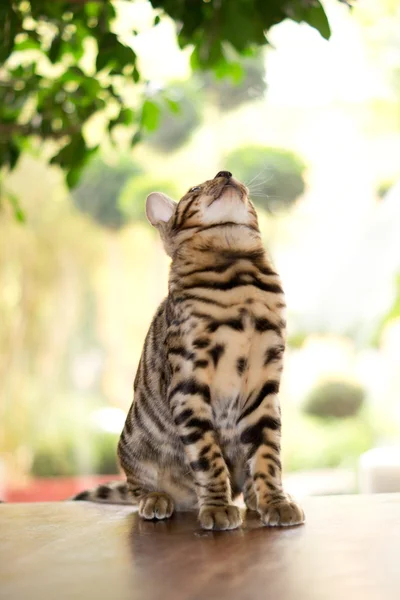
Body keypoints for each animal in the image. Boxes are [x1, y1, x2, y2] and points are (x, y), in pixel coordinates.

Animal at [72, 170, 304, 528]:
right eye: (195, 188)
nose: (226, 173)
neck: (239, 274)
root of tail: (184, 500)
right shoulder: (190, 383)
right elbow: (208, 457)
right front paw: (218, 507)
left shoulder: (264, 384)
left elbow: (267, 453)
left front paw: (275, 502)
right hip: (132, 446)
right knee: (138, 487)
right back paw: (158, 499)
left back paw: (253, 497)